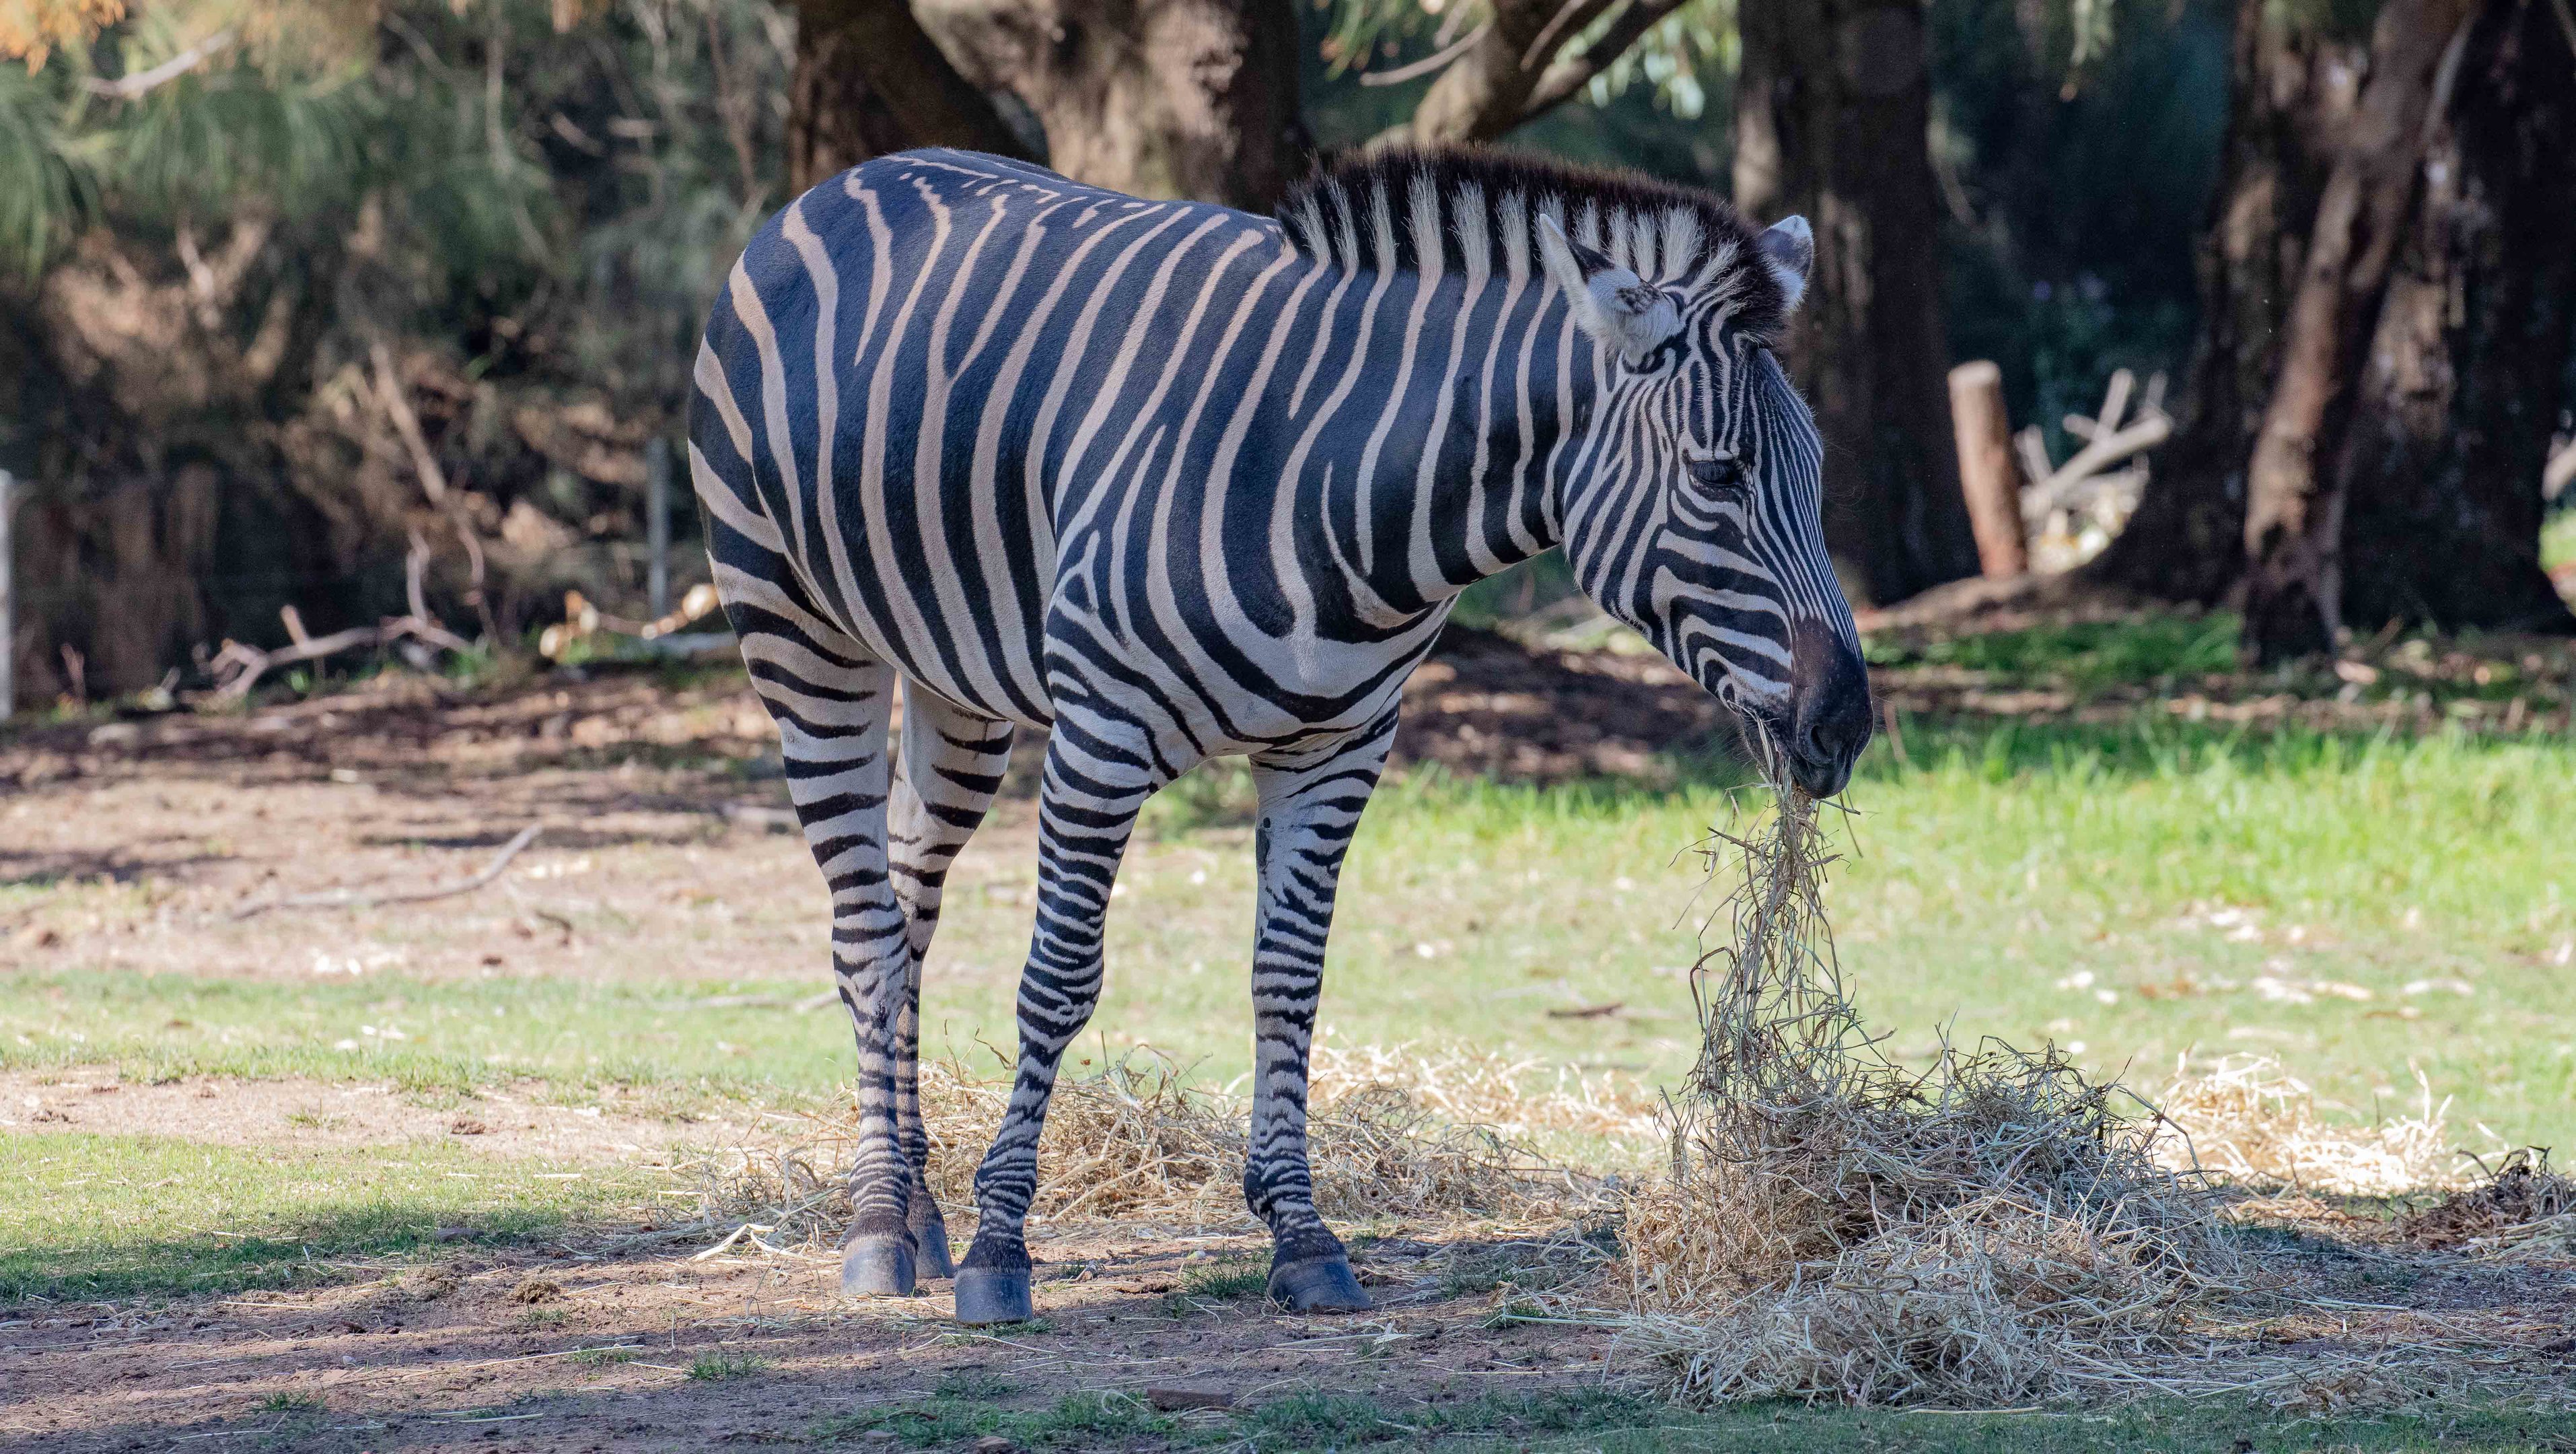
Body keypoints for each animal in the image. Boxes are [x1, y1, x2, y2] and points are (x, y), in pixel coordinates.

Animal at [689, 145, 1872, 1325]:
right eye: (1718, 475)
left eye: (1821, 473)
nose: (1847, 725)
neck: (1340, 484)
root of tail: (854, 178)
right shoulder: (1101, 736)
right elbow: (1060, 981)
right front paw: (1001, 1247)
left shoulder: (1337, 749)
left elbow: (1288, 980)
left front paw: (1300, 1234)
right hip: (802, 637)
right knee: (866, 935)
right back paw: (881, 1227)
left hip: (957, 686)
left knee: (907, 909)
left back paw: (920, 1211)